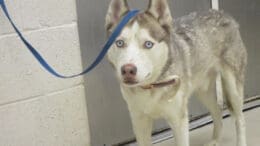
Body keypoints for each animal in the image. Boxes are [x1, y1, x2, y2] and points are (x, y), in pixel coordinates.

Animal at [104, 0, 247, 145]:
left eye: (148, 44)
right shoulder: (140, 122)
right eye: (120, 43)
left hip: (233, 89)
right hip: (203, 92)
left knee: (240, 119)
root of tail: (223, 14)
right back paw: (215, 140)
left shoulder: (179, 120)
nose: (127, 70)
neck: (152, 86)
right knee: (217, 111)